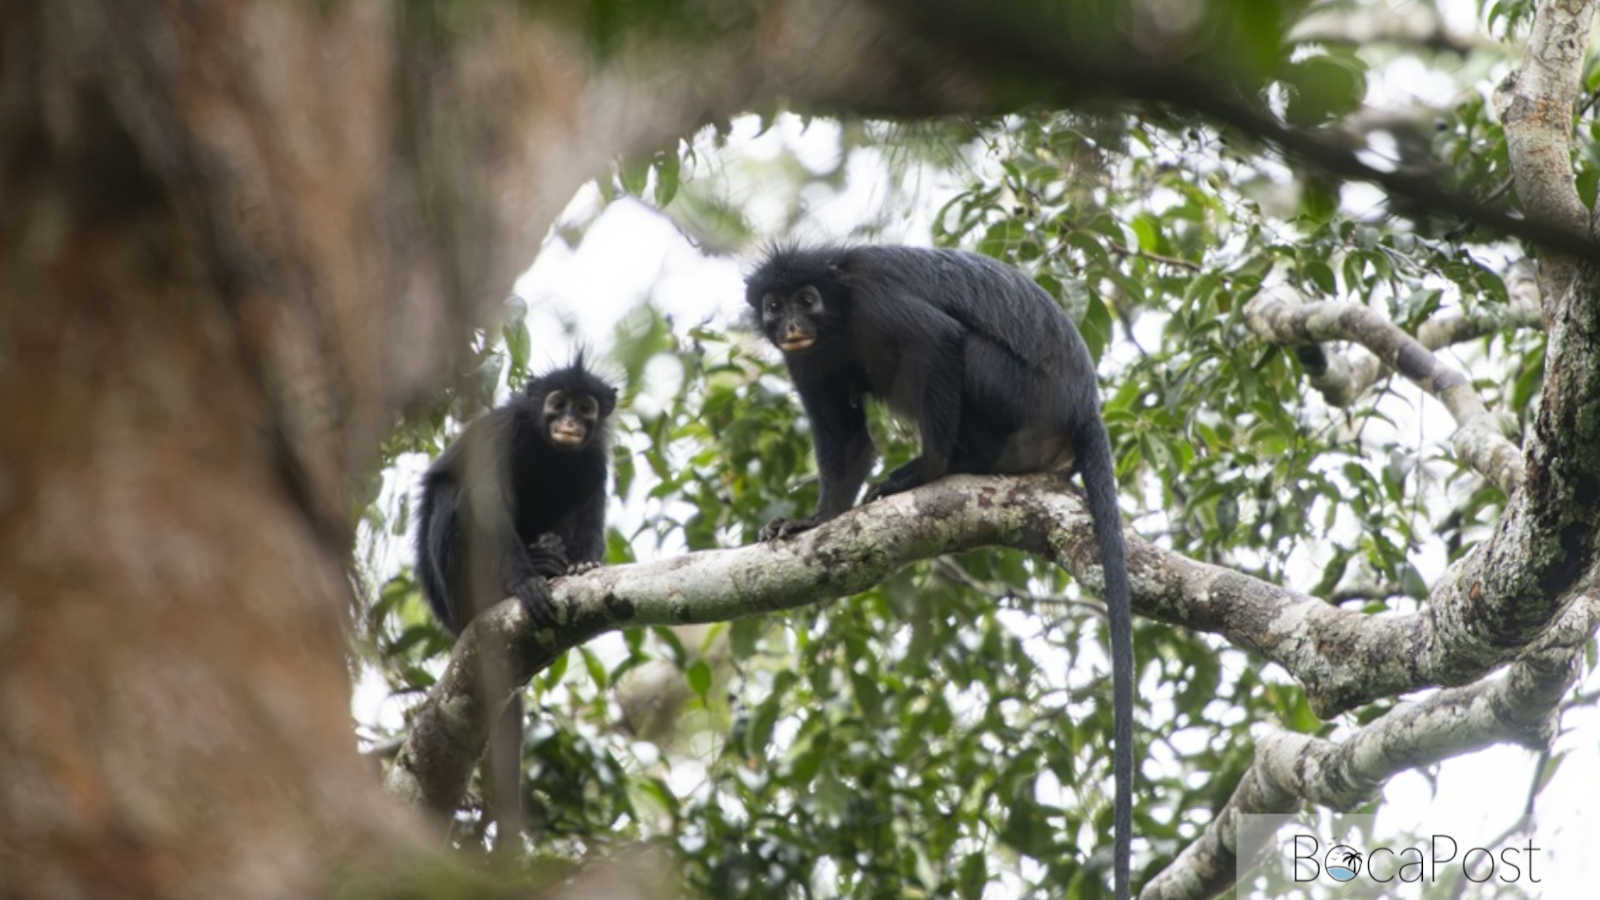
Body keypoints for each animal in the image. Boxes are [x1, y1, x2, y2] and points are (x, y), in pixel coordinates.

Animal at [414, 353, 616, 851]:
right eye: (557, 402)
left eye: (585, 408)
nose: (569, 423)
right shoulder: (501, 435)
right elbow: (486, 506)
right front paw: (525, 584)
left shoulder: (595, 457)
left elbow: (590, 506)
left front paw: (582, 565)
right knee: (454, 495)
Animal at [747, 245, 1134, 900]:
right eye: (775, 306)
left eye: (808, 299)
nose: (793, 323)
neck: (839, 316)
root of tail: (1083, 405)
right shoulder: (808, 360)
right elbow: (847, 442)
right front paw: (811, 521)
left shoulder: (876, 300)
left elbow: (939, 341)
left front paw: (926, 470)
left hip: (1017, 396)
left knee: (965, 350)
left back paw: (951, 464)